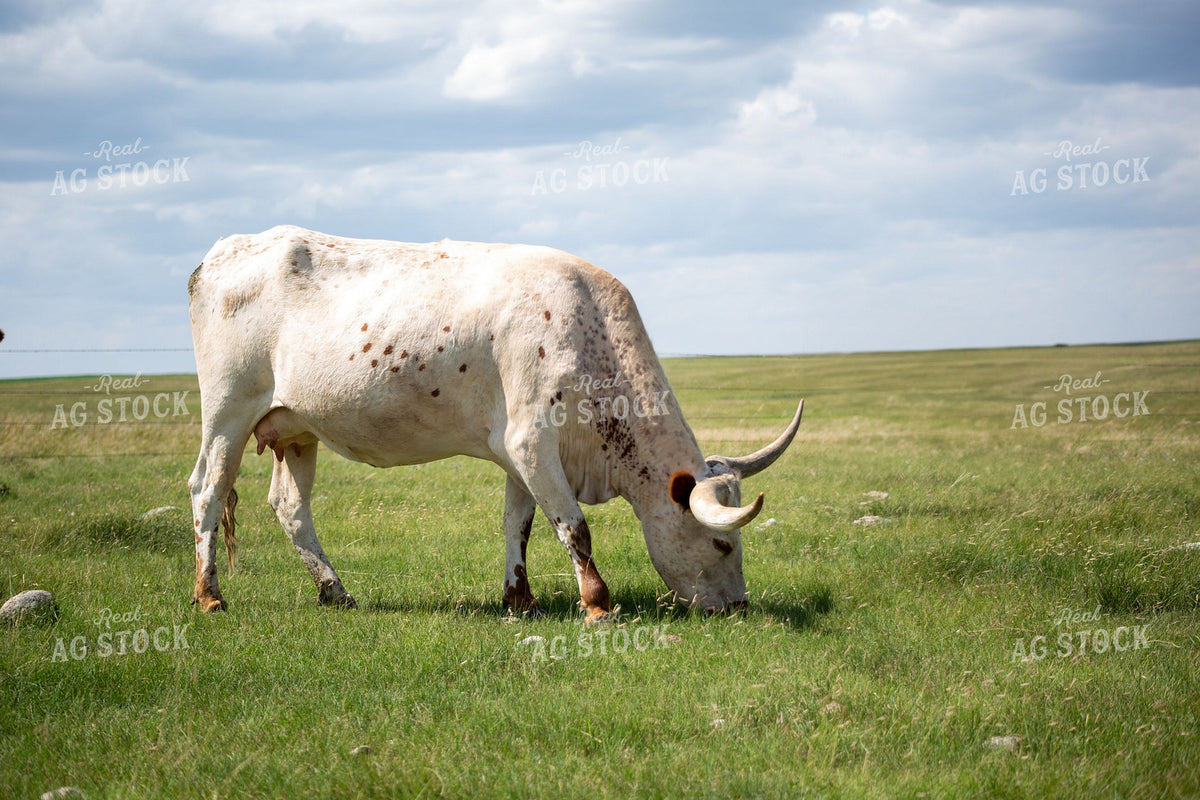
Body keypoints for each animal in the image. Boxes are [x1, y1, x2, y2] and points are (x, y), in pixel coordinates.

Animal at [187, 226, 803, 620]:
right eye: (722, 544)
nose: (740, 605)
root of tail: (216, 254)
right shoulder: (534, 442)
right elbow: (574, 526)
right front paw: (597, 604)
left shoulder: (517, 454)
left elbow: (520, 524)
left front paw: (520, 598)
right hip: (227, 413)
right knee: (207, 493)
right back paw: (209, 594)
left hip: (295, 429)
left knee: (291, 508)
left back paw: (335, 592)